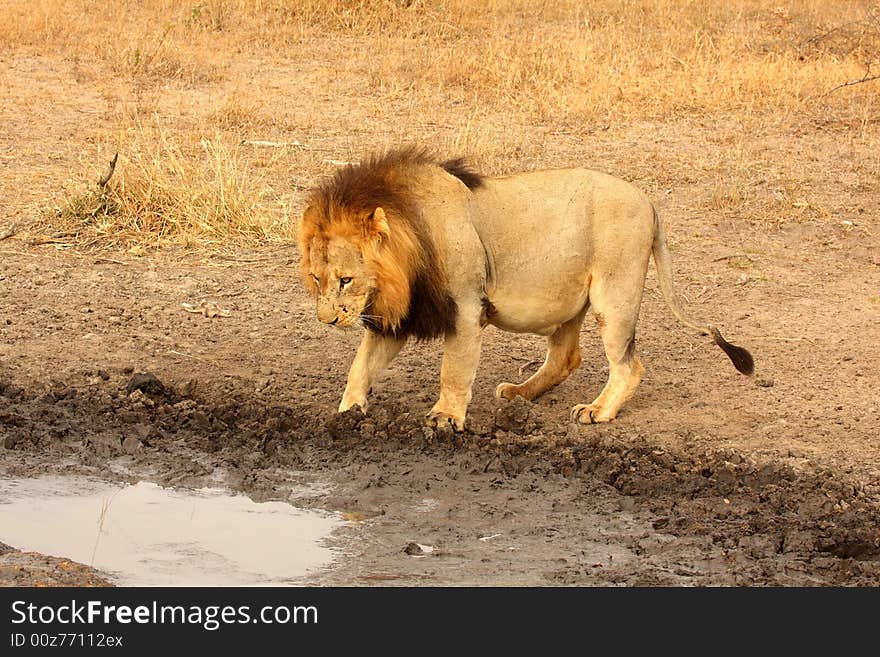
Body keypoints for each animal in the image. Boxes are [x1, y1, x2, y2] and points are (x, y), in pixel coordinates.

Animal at [300, 146, 752, 428]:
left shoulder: (466, 308)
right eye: (317, 279)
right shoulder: (403, 314)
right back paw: (519, 393)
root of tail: (650, 202)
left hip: (615, 296)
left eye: (346, 279)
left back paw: (598, 411)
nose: (327, 320)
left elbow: (454, 370)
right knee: (566, 358)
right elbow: (361, 363)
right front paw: (348, 409)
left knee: (628, 365)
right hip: (571, 301)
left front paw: (446, 417)